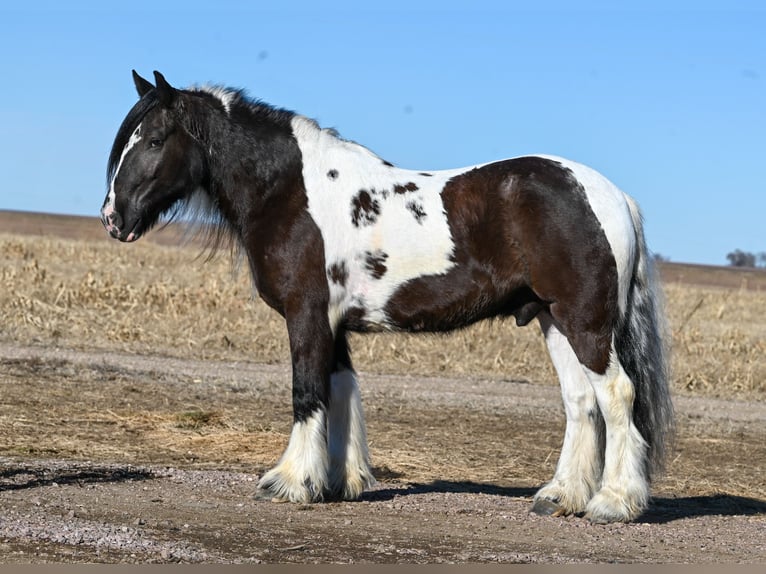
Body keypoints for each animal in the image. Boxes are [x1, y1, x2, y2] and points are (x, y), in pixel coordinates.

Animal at [100, 70, 672, 524]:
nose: (113, 218)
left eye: (154, 140)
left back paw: (613, 503)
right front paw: (338, 481)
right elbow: (340, 390)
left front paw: (289, 482)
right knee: (581, 402)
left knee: (616, 393)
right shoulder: (332, 324)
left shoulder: (306, 315)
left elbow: (307, 392)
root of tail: (611, 195)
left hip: (585, 320)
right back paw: (560, 497)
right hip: (554, 319)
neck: (290, 191)